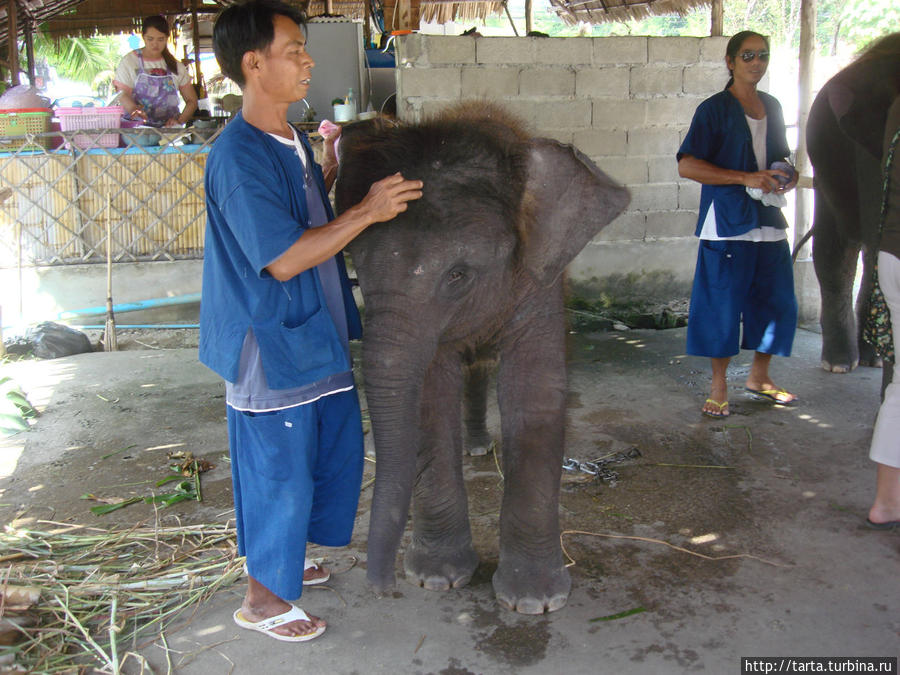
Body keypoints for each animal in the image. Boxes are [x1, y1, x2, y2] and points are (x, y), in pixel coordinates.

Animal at [334, 103, 628, 616]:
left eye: (458, 275)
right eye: (356, 266)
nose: (383, 588)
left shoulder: (540, 280)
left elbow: (532, 392)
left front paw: (535, 602)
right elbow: (430, 396)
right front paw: (436, 580)